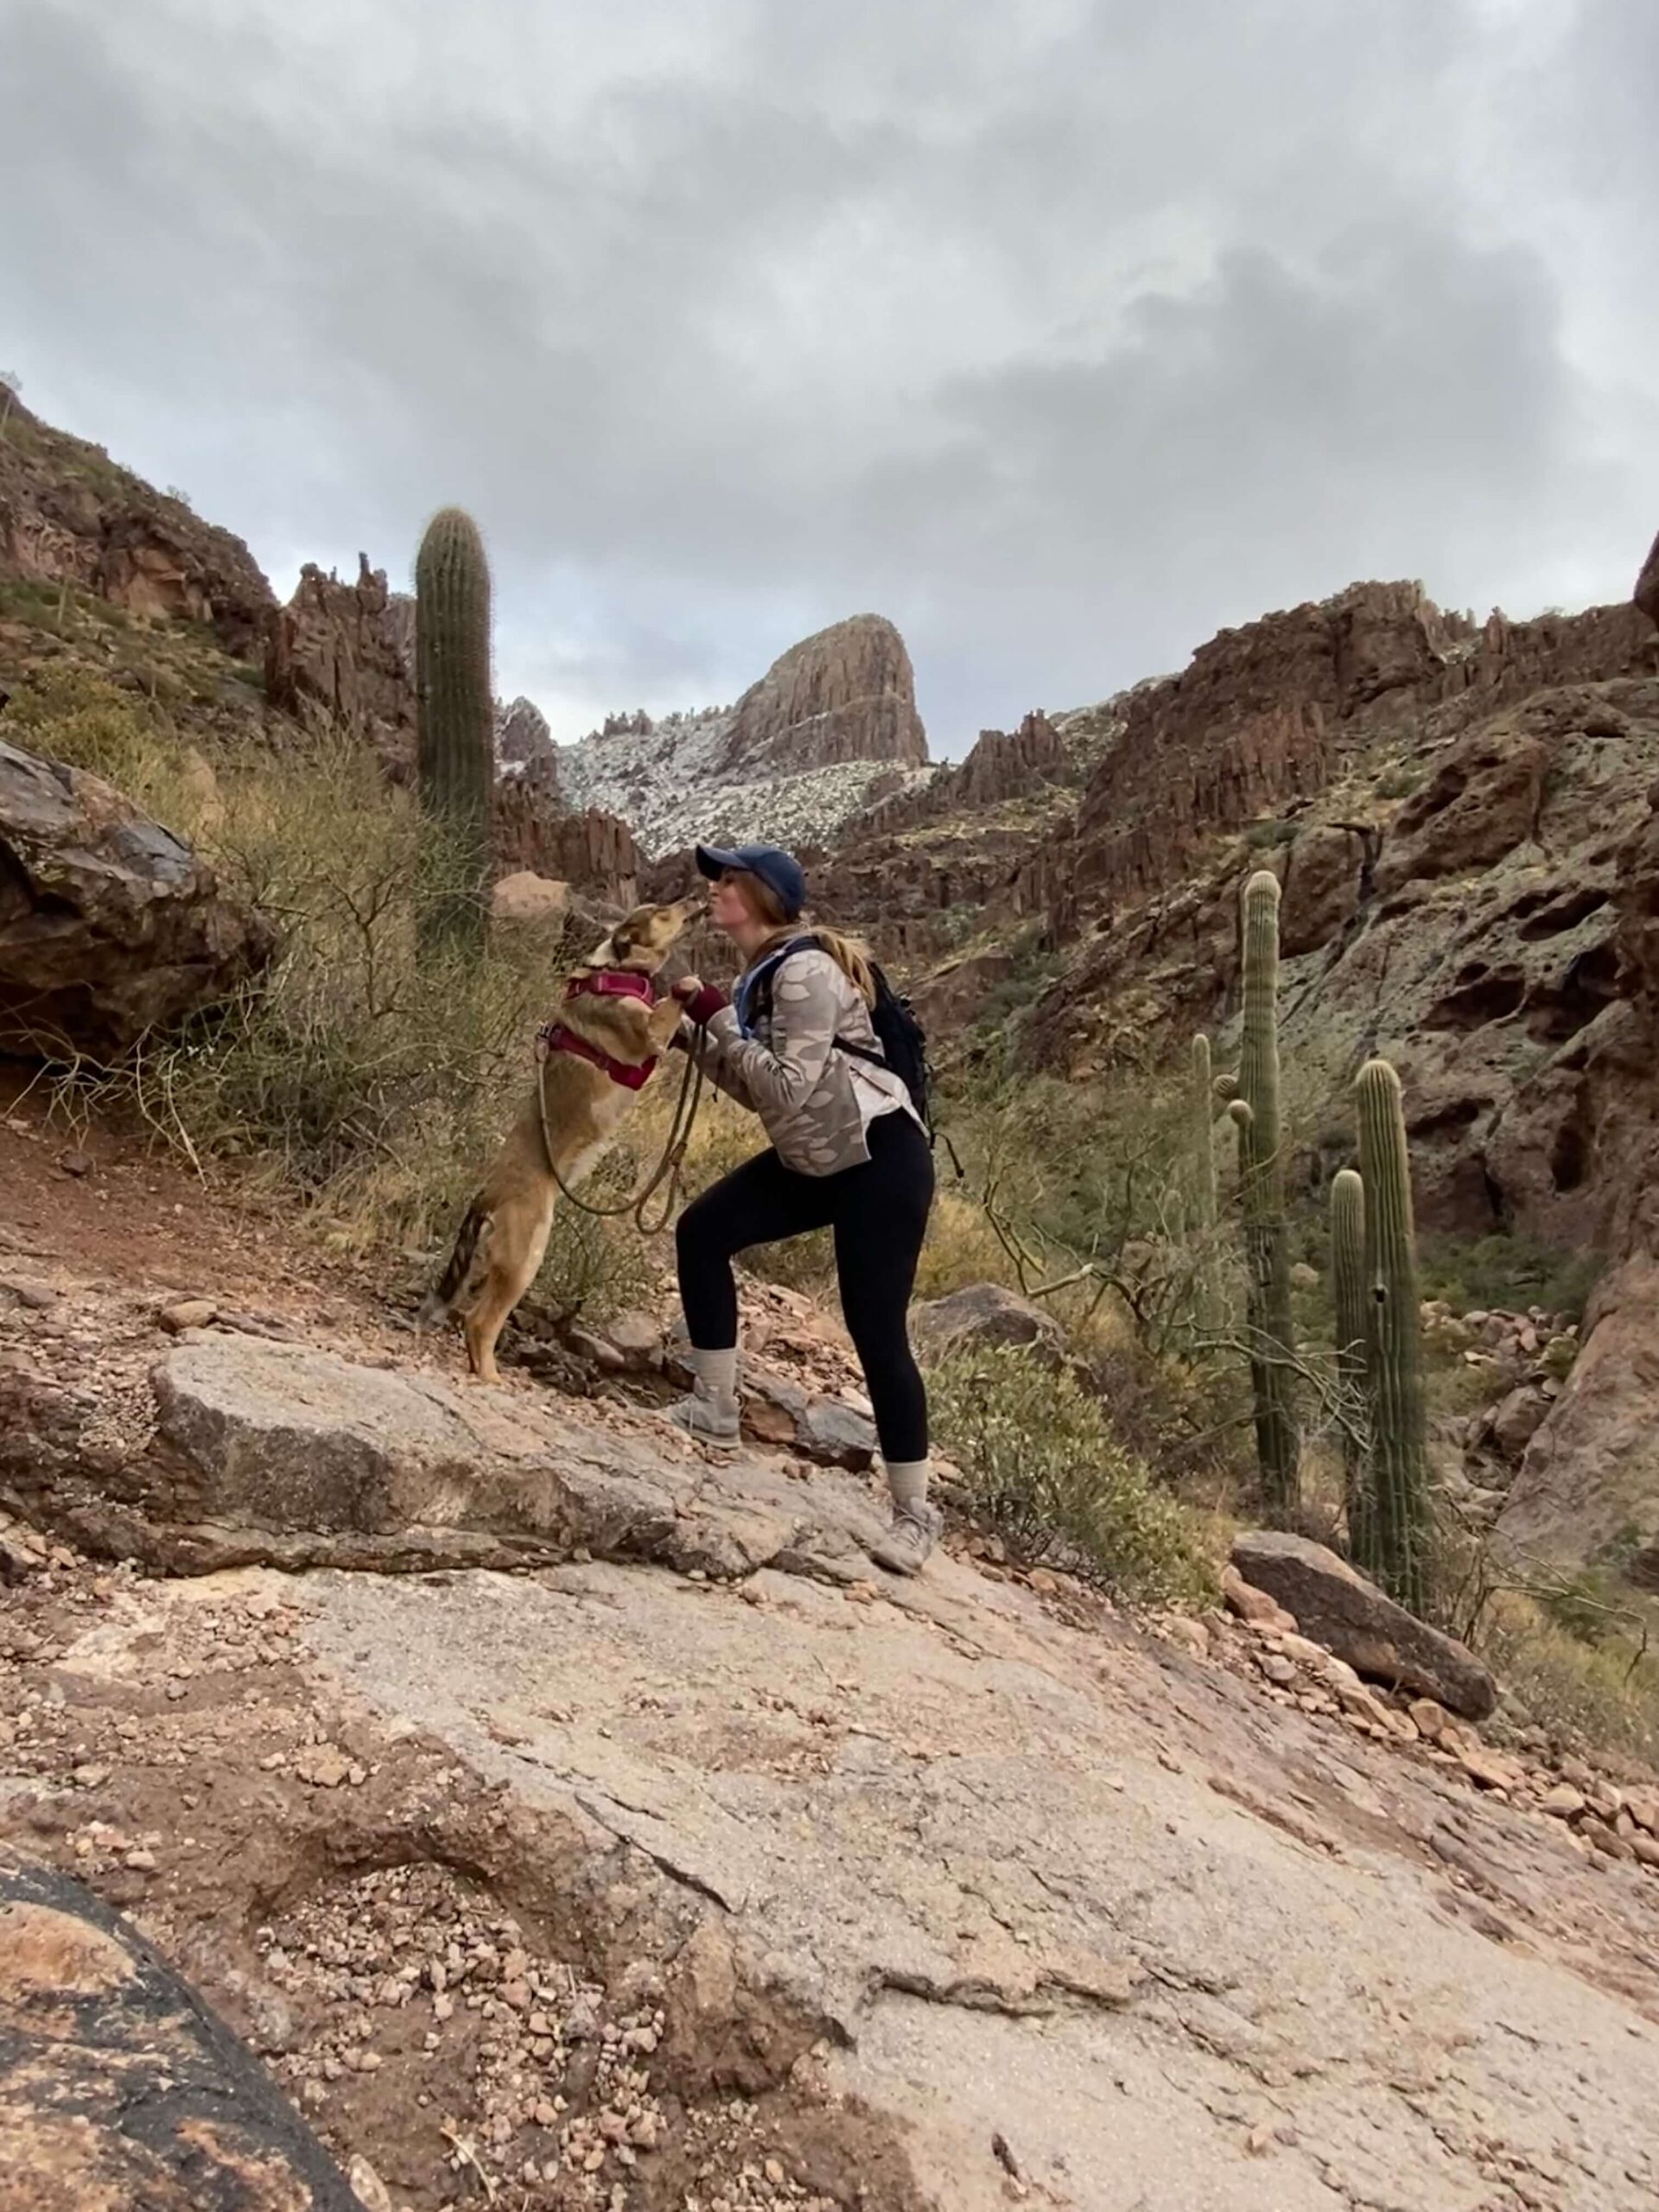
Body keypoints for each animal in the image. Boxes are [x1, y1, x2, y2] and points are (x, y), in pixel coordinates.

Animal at [422, 898, 703, 1380]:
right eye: (663, 912)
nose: (696, 899)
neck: (618, 968)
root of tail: (486, 1197)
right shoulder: (649, 1033)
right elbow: (668, 1006)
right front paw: (690, 987)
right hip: (526, 1258)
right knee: (479, 1322)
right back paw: (491, 1378)